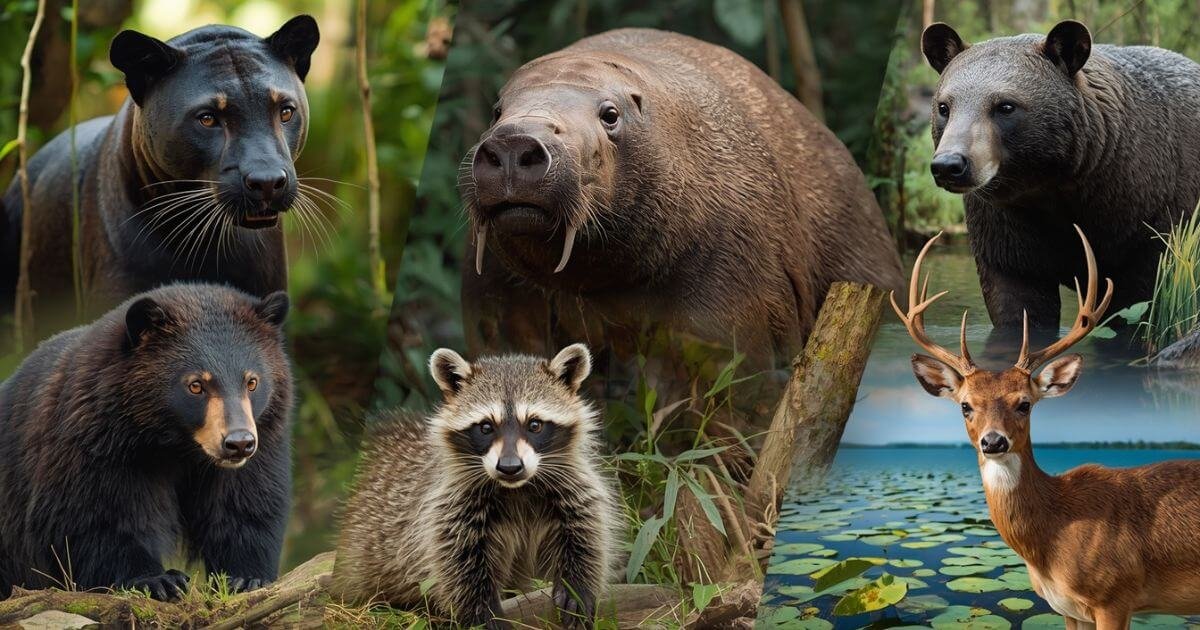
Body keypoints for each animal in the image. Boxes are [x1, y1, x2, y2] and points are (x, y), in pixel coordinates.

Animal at [0, 284, 293, 600]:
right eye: (195, 385)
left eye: (252, 381)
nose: (239, 443)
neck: (171, 443)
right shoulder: (93, 443)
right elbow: (94, 515)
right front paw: (159, 580)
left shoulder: (262, 440)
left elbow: (245, 504)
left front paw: (245, 577)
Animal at [922, 20, 1200, 331]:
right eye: (944, 107)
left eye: (1005, 105)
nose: (949, 164)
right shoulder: (1005, 230)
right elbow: (1017, 302)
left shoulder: (1150, 219)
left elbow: (1138, 304)